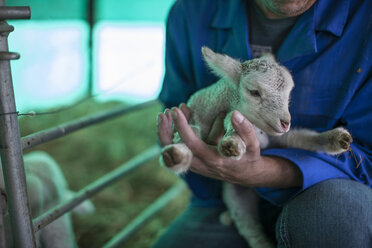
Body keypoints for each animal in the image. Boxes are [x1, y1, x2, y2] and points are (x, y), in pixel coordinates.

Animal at [160, 46, 352, 248]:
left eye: (288, 95)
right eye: (254, 92)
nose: (285, 123)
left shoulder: (268, 138)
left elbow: (301, 138)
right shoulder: (194, 116)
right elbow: (191, 133)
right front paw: (177, 155)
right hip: (237, 197)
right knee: (250, 229)